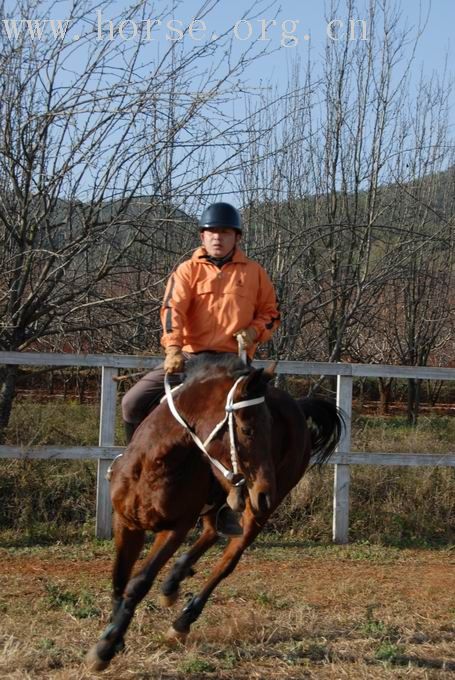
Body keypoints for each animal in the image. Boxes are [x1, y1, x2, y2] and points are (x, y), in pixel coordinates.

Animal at [86, 356, 342, 668]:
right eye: (247, 429)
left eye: (271, 429)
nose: (264, 494)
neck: (154, 463)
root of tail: (300, 407)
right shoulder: (126, 523)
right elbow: (119, 579)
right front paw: (116, 635)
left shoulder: (175, 528)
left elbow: (138, 582)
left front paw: (105, 648)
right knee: (211, 531)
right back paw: (174, 580)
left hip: (257, 512)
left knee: (228, 559)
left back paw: (183, 620)